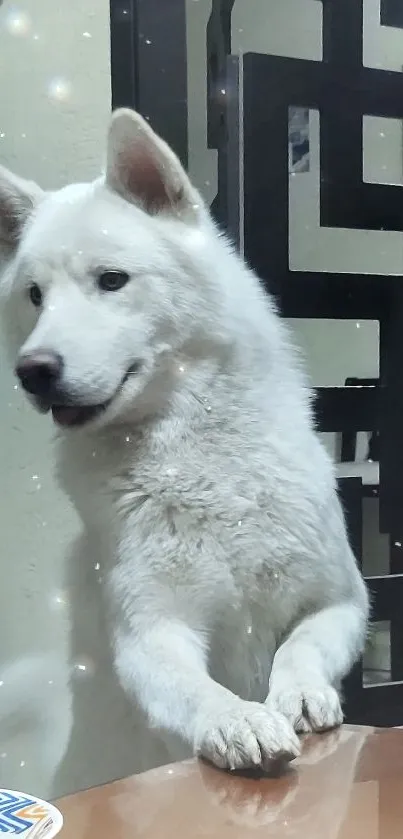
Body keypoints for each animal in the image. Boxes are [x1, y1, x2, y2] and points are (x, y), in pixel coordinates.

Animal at [0, 110, 370, 776]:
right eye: (34, 295)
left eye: (112, 280)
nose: (33, 371)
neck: (197, 460)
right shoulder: (150, 635)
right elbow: (197, 689)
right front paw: (237, 720)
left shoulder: (342, 604)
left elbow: (300, 647)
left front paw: (299, 693)